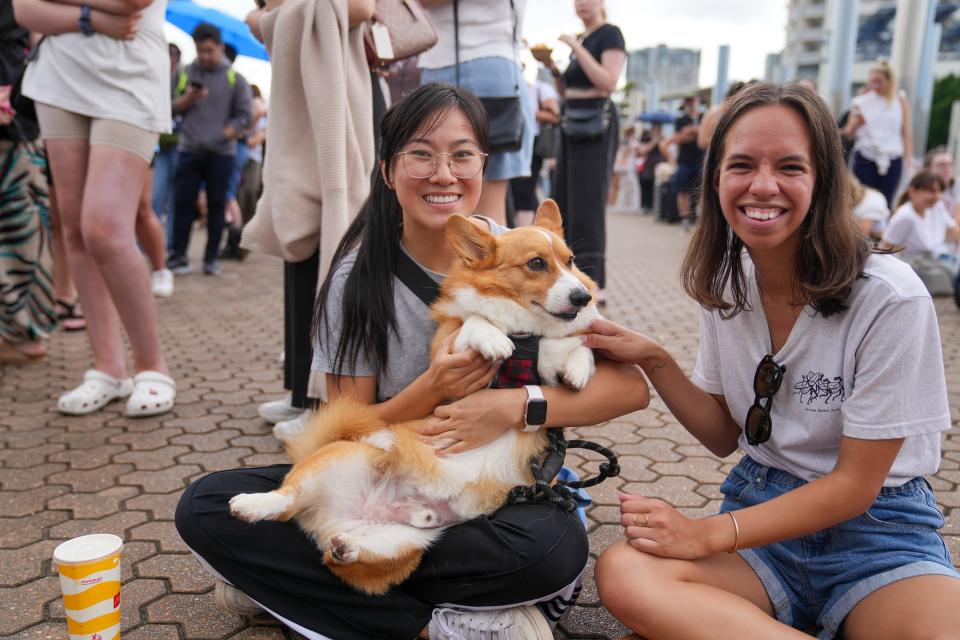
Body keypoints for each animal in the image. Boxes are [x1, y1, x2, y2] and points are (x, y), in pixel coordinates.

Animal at [228, 200, 596, 596]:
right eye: (536, 263)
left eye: (571, 261)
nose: (583, 297)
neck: (527, 332)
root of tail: (330, 517)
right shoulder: (448, 348)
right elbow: (474, 321)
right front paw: (494, 338)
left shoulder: (554, 354)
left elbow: (578, 349)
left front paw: (576, 373)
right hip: (334, 460)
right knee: (285, 499)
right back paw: (250, 505)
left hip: (405, 542)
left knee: (340, 557)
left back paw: (346, 547)